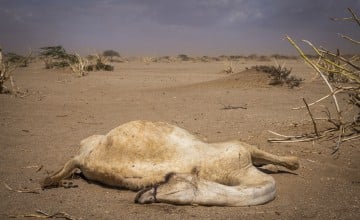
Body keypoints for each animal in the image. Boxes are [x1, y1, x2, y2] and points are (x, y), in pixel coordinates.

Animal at [42, 120, 300, 206]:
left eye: (161, 188)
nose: (143, 196)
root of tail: (83, 159)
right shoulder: (240, 149)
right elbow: (282, 161)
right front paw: (290, 162)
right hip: (88, 143)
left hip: (84, 154)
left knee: (69, 165)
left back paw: (54, 180)